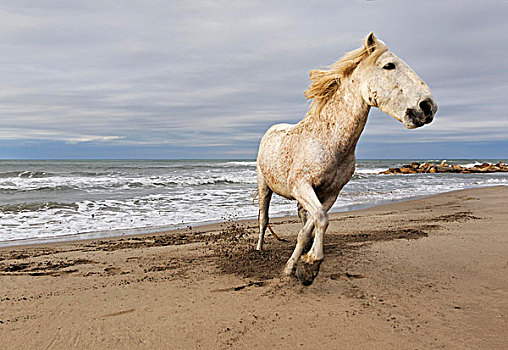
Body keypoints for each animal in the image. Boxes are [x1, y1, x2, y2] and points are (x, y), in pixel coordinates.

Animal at [256, 32, 438, 284]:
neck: (329, 139)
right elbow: (320, 219)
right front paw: (305, 266)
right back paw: (258, 249)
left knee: (302, 215)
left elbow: (311, 225)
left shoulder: (330, 194)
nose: (428, 107)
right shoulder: (301, 186)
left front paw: (304, 262)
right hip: (264, 186)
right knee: (264, 219)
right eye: (389, 65)